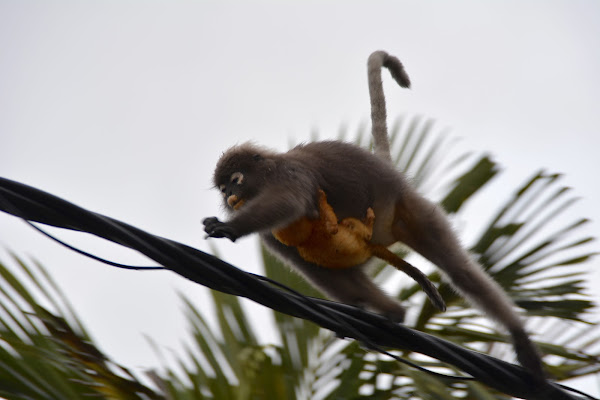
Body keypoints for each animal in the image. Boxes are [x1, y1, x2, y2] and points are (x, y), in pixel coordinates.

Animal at [272, 189, 446, 310]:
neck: (305, 239)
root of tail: (368, 249)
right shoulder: (320, 229)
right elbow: (333, 228)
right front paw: (321, 198)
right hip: (361, 238)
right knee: (355, 227)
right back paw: (369, 222)